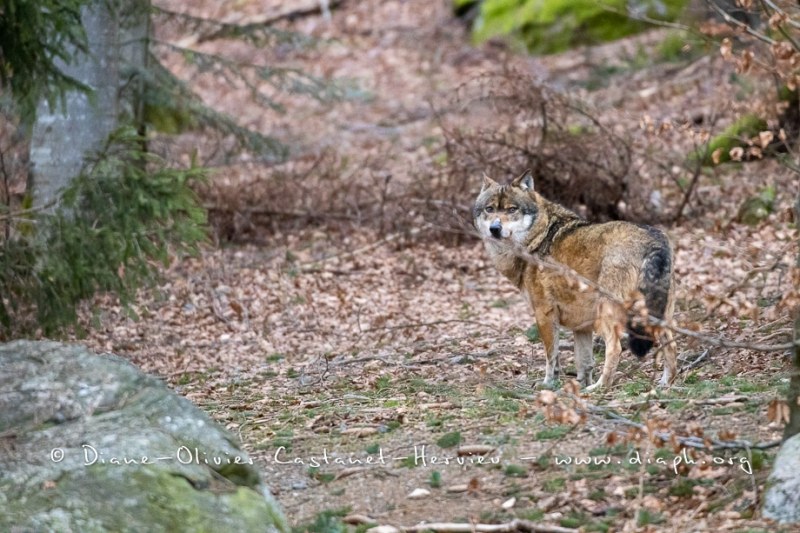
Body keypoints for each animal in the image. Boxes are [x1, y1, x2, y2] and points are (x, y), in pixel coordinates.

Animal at [472, 170, 680, 390]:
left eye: (512, 209)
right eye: (489, 209)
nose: (495, 228)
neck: (536, 238)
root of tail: (653, 240)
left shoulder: (544, 314)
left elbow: (552, 357)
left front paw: (549, 385)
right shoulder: (581, 326)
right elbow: (584, 362)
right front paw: (576, 388)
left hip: (608, 315)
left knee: (615, 348)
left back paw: (599, 387)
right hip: (658, 316)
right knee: (671, 344)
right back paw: (664, 386)